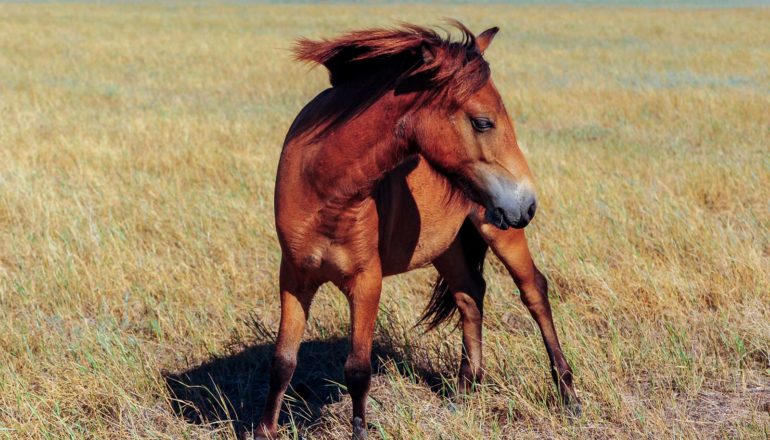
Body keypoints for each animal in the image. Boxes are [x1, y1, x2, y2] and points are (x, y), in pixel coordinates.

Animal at [256, 21, 576, 440]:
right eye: (482, 122)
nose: (528, 202)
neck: (324, 188)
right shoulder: (294, 278)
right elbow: (282, 361)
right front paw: (265, 430)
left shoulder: (366, 282)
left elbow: (357, 369)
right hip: (448, 247)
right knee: (469, 296)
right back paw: (464, 390)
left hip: (501, 231)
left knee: (534, 292)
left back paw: (568, 395)